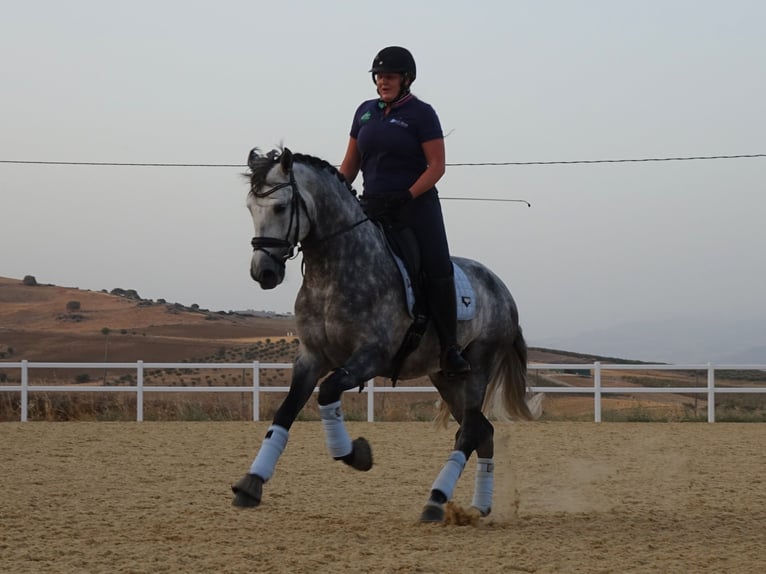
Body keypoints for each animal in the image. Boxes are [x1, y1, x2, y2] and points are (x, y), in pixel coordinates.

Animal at [231, 147, 536, 520]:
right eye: (250, 208)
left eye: (280, 207)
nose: (264, 272)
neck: (332, 272)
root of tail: (504, 292)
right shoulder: (311, 357)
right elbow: (286, 411)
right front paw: (251, 482)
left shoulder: (371, 356)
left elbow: (328, 392)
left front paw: (356, 454)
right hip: (445, 377)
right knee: (481, 430)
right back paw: (478, 506)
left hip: (477, 367)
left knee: (469, 433)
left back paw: (435, 501)